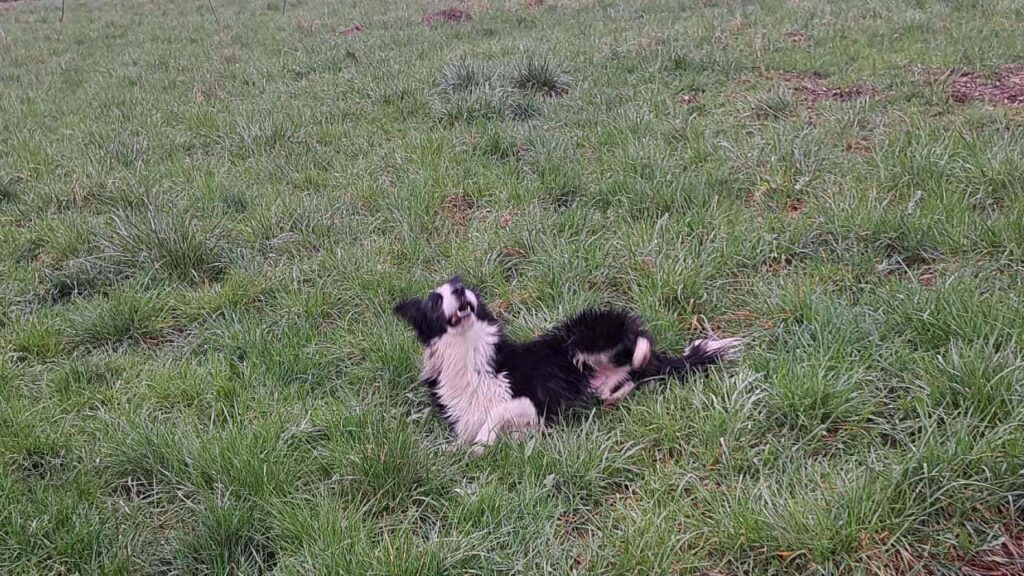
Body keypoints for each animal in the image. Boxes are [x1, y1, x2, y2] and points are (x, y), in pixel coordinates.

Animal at [389, 276, 737, 450]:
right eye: (436, 300)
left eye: (462, 289)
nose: (460, 290)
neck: (470, 349)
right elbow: (470, 434)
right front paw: (468, 448)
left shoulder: (530, 400)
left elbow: (495, 415)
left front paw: (482, 442)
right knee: (623, 383)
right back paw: (611, 395)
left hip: (582, 333)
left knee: (639, 340)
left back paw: (638, 354)